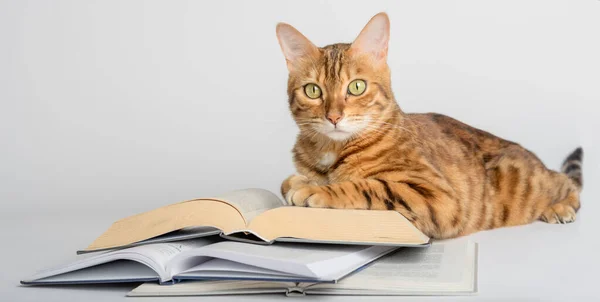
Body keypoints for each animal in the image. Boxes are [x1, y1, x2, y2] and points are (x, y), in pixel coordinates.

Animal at [278, 11, 584, 239]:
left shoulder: (438, 196)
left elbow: (367, 186)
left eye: (356, 86)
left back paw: (561, 208)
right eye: (313, 91)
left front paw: (315, 190)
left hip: (527, 183)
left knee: (567, 183)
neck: (331, 152)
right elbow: (290, 180)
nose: (333, 117)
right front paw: (302, 181)